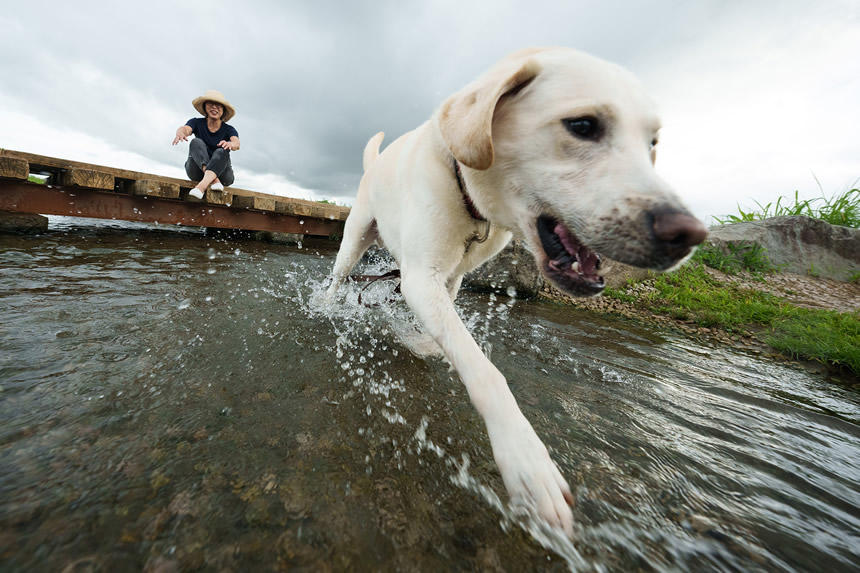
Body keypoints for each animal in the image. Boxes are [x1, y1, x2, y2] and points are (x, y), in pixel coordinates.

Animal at [326, 48, 708, 532]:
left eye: (653, 142)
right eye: (582, 125)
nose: (690, 235)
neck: (471, 199)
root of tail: (374, 164)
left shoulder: (448, 277)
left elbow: (446, 323)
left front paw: (421, 341)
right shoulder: (420, 276)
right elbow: (485, 371)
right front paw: (527, 462)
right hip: (355, 239)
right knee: (337, 277)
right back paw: (322, 305)